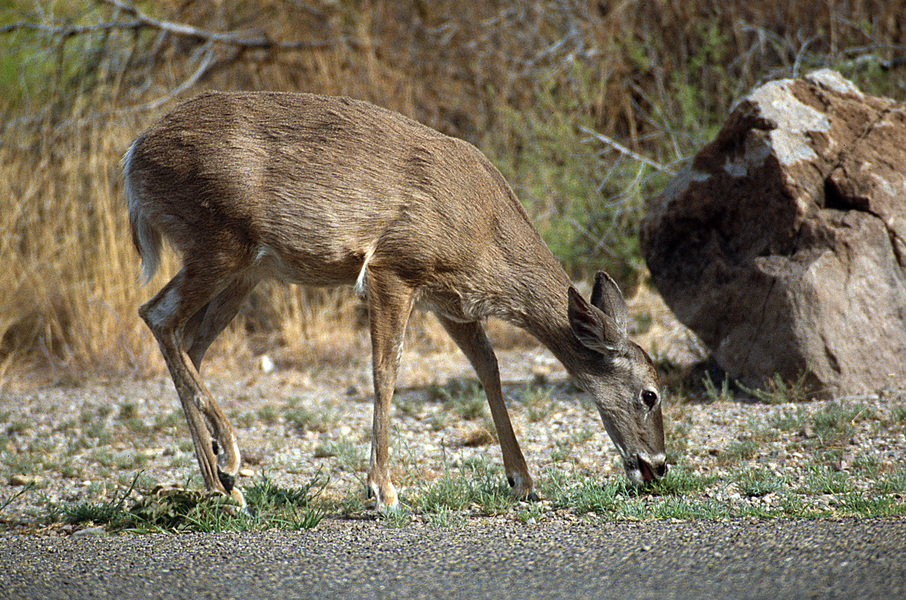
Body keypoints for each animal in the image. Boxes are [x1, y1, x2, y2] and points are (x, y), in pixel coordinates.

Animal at [123, 90, 668, 510]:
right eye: (650, 394)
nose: (660, 466)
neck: (485, 233)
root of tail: (132, 156)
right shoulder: (394, 268)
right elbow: (386, 372)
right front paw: (382, 490)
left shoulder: (449, 302)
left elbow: (488, 369)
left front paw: (523, 482)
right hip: (218, 241)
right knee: (157, 314)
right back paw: (228, 469)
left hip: (244, 271)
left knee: (190, 342)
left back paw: (221, 475)